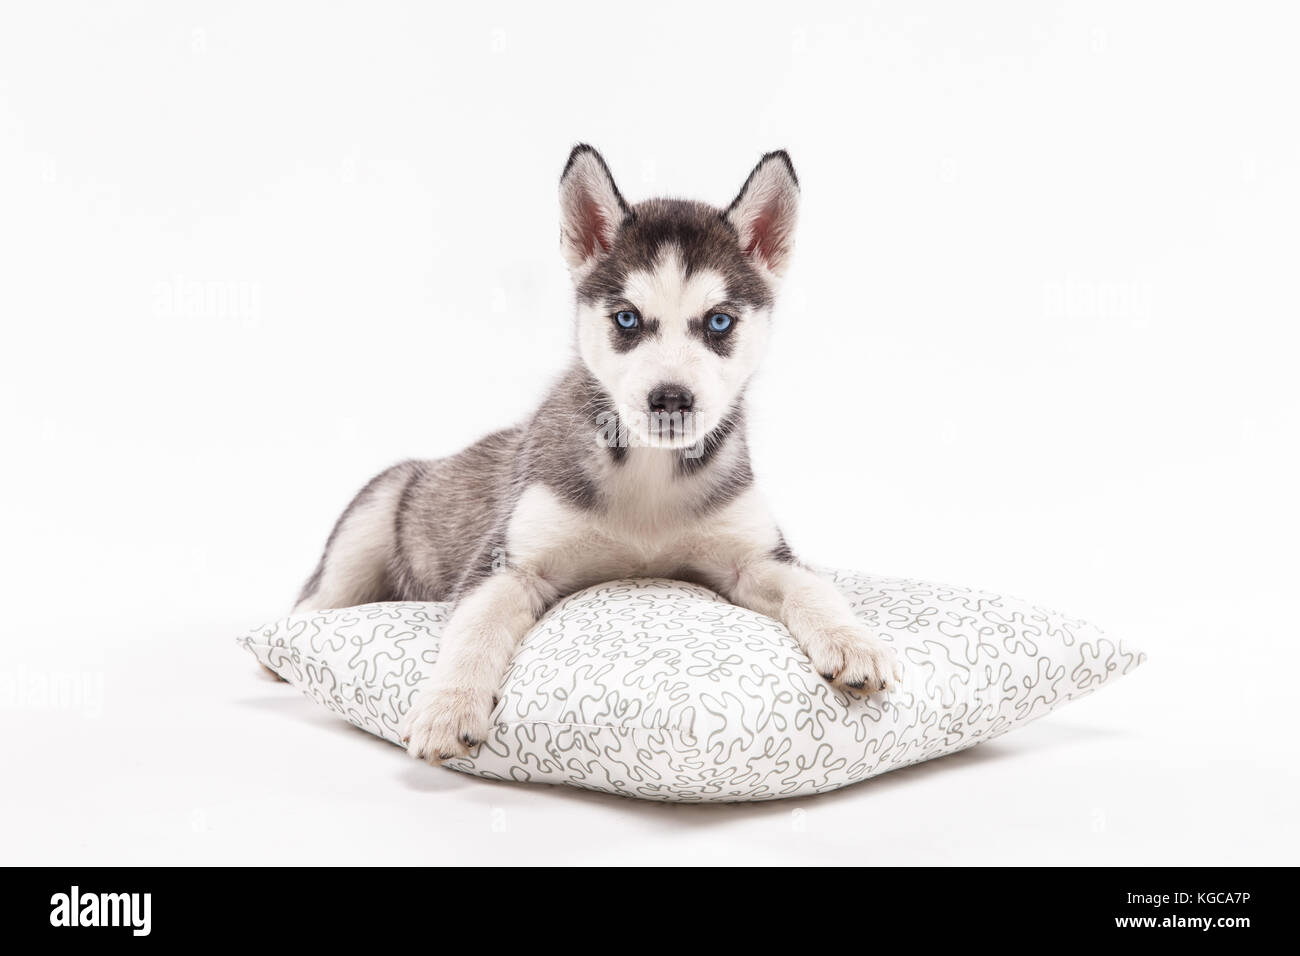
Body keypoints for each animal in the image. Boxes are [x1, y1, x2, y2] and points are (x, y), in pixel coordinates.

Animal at [296, 145, 904, 764]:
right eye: (627, 319)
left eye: (719, 322)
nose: (670, 400)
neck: (650, 473)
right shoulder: (506, 563)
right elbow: (474, 631)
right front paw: (449, 706)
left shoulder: (756, 557)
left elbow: (813, 587)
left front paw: (854, 641)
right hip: (372, 515)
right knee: (309, 605)